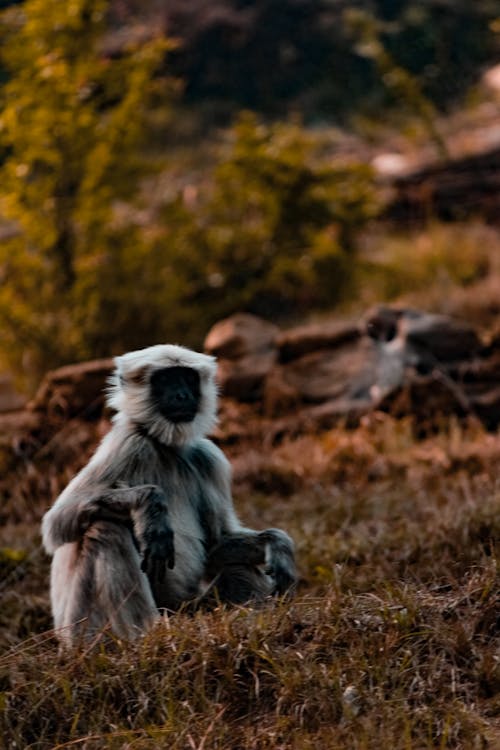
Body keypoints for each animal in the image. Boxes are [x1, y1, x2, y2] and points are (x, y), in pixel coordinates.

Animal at [42, 346, 296, 648]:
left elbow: (217, 543)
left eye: (187, 378)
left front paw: (277, 544)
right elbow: (56, 523)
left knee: (238, 569)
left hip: (192, 607)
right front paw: (149, 506)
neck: (165, 448)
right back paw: (148, 635)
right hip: (82, 627)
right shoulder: (128, 443)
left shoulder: (208, 458)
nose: (182, 395)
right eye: (165, 380)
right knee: (105, 529)